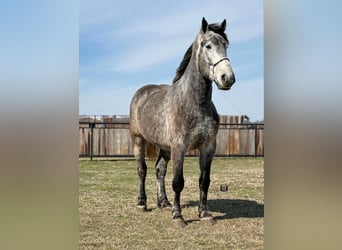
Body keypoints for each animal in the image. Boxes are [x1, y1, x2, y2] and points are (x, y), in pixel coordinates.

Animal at [129, 16, 235, 226]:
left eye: (226, 45)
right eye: (208, 46)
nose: (227, 78)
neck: (195, 102)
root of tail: (141, 92)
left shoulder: (208, 146)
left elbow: (204, 181)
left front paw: (204, 214)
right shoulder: (179, 146)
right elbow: (178, 182)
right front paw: (178, 217)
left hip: (164, 147)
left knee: (159, 170)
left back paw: (164, 203)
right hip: (139, 140)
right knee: (142, 170)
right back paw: (142, 203)